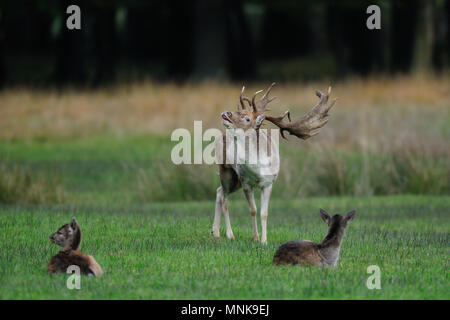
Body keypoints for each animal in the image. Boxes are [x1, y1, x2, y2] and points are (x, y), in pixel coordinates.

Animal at [213, 83, 336, 245]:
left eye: (247, 118)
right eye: (237, 111)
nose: (226, 113)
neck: (257, 171)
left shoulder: (269, 182)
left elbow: (264, 212)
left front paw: (264, 240)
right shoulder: (246, 182)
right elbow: (253, 210)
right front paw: (255, 237)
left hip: (235, 180)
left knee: (219, 191)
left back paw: (215, 232)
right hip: (227, 171)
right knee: (224, 198)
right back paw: (228, 234)